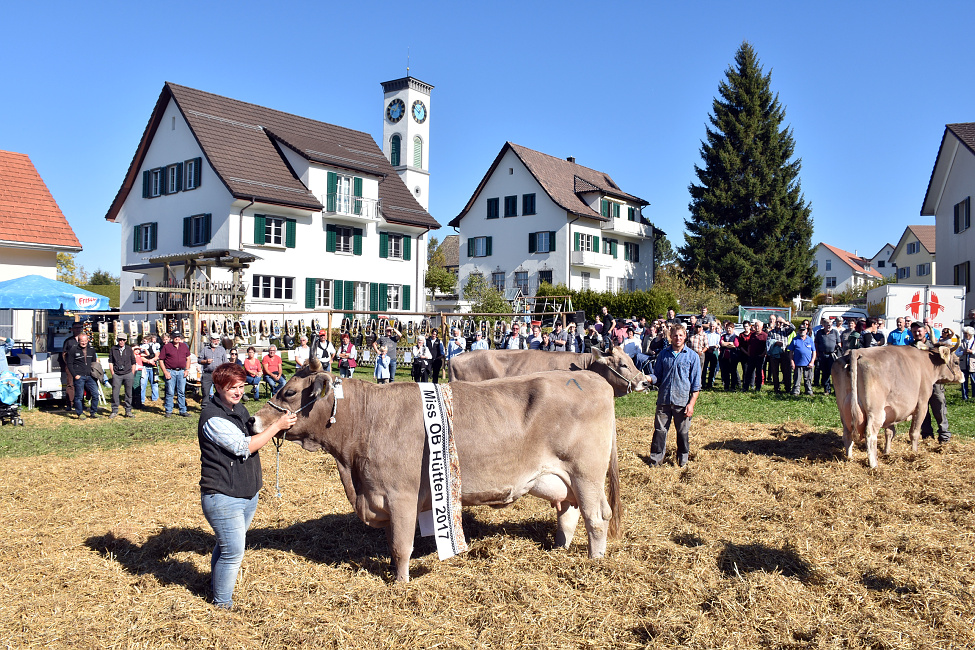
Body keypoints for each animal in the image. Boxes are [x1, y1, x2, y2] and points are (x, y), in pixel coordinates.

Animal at [252, 356, 616, 580]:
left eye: (290, 391)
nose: (254, 420)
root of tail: (588, 377)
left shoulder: (401, 494)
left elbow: (401, 545)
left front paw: (400, 582)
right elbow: (392, 541)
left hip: (586, 475)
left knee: (597, 519)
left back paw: (595, 562)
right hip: (564, 479)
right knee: (568, 515)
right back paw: (559, 549)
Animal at [832, 344, 968, 466]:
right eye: (956, 362)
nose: (963, 377)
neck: (926, 363)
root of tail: (856, 351)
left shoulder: (890, 409)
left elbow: (890, 432)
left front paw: (887, 452)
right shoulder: (922, 404)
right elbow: (914, 432)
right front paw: (914, 452)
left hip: (844, 409)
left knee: (847, 434)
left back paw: (849, 458)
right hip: (874, 411)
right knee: (870, 434)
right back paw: (874, 465)